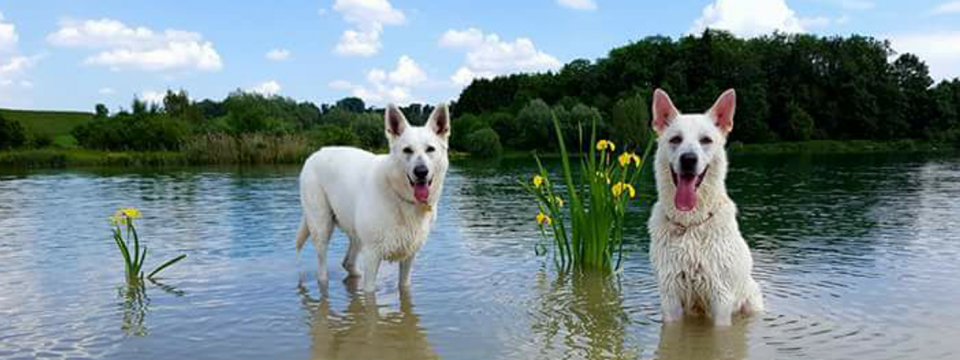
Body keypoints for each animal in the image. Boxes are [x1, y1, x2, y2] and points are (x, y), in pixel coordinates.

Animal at [296, 103, 450, 292]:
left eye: (430, 149)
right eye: (407, 150)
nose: (421, 172)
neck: (399, 195)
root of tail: (315, 153)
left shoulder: (409, 257)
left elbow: (404, 287)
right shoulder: (372, 256)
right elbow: (369, 293)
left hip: (356, 234)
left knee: (347, 263)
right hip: (322, 227)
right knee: (322, 272)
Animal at [644, 88, 764, 326]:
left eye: (706, 140)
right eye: (676, 139)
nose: (688, 159)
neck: (690, 225)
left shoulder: (721, 297)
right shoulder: (670, 296)